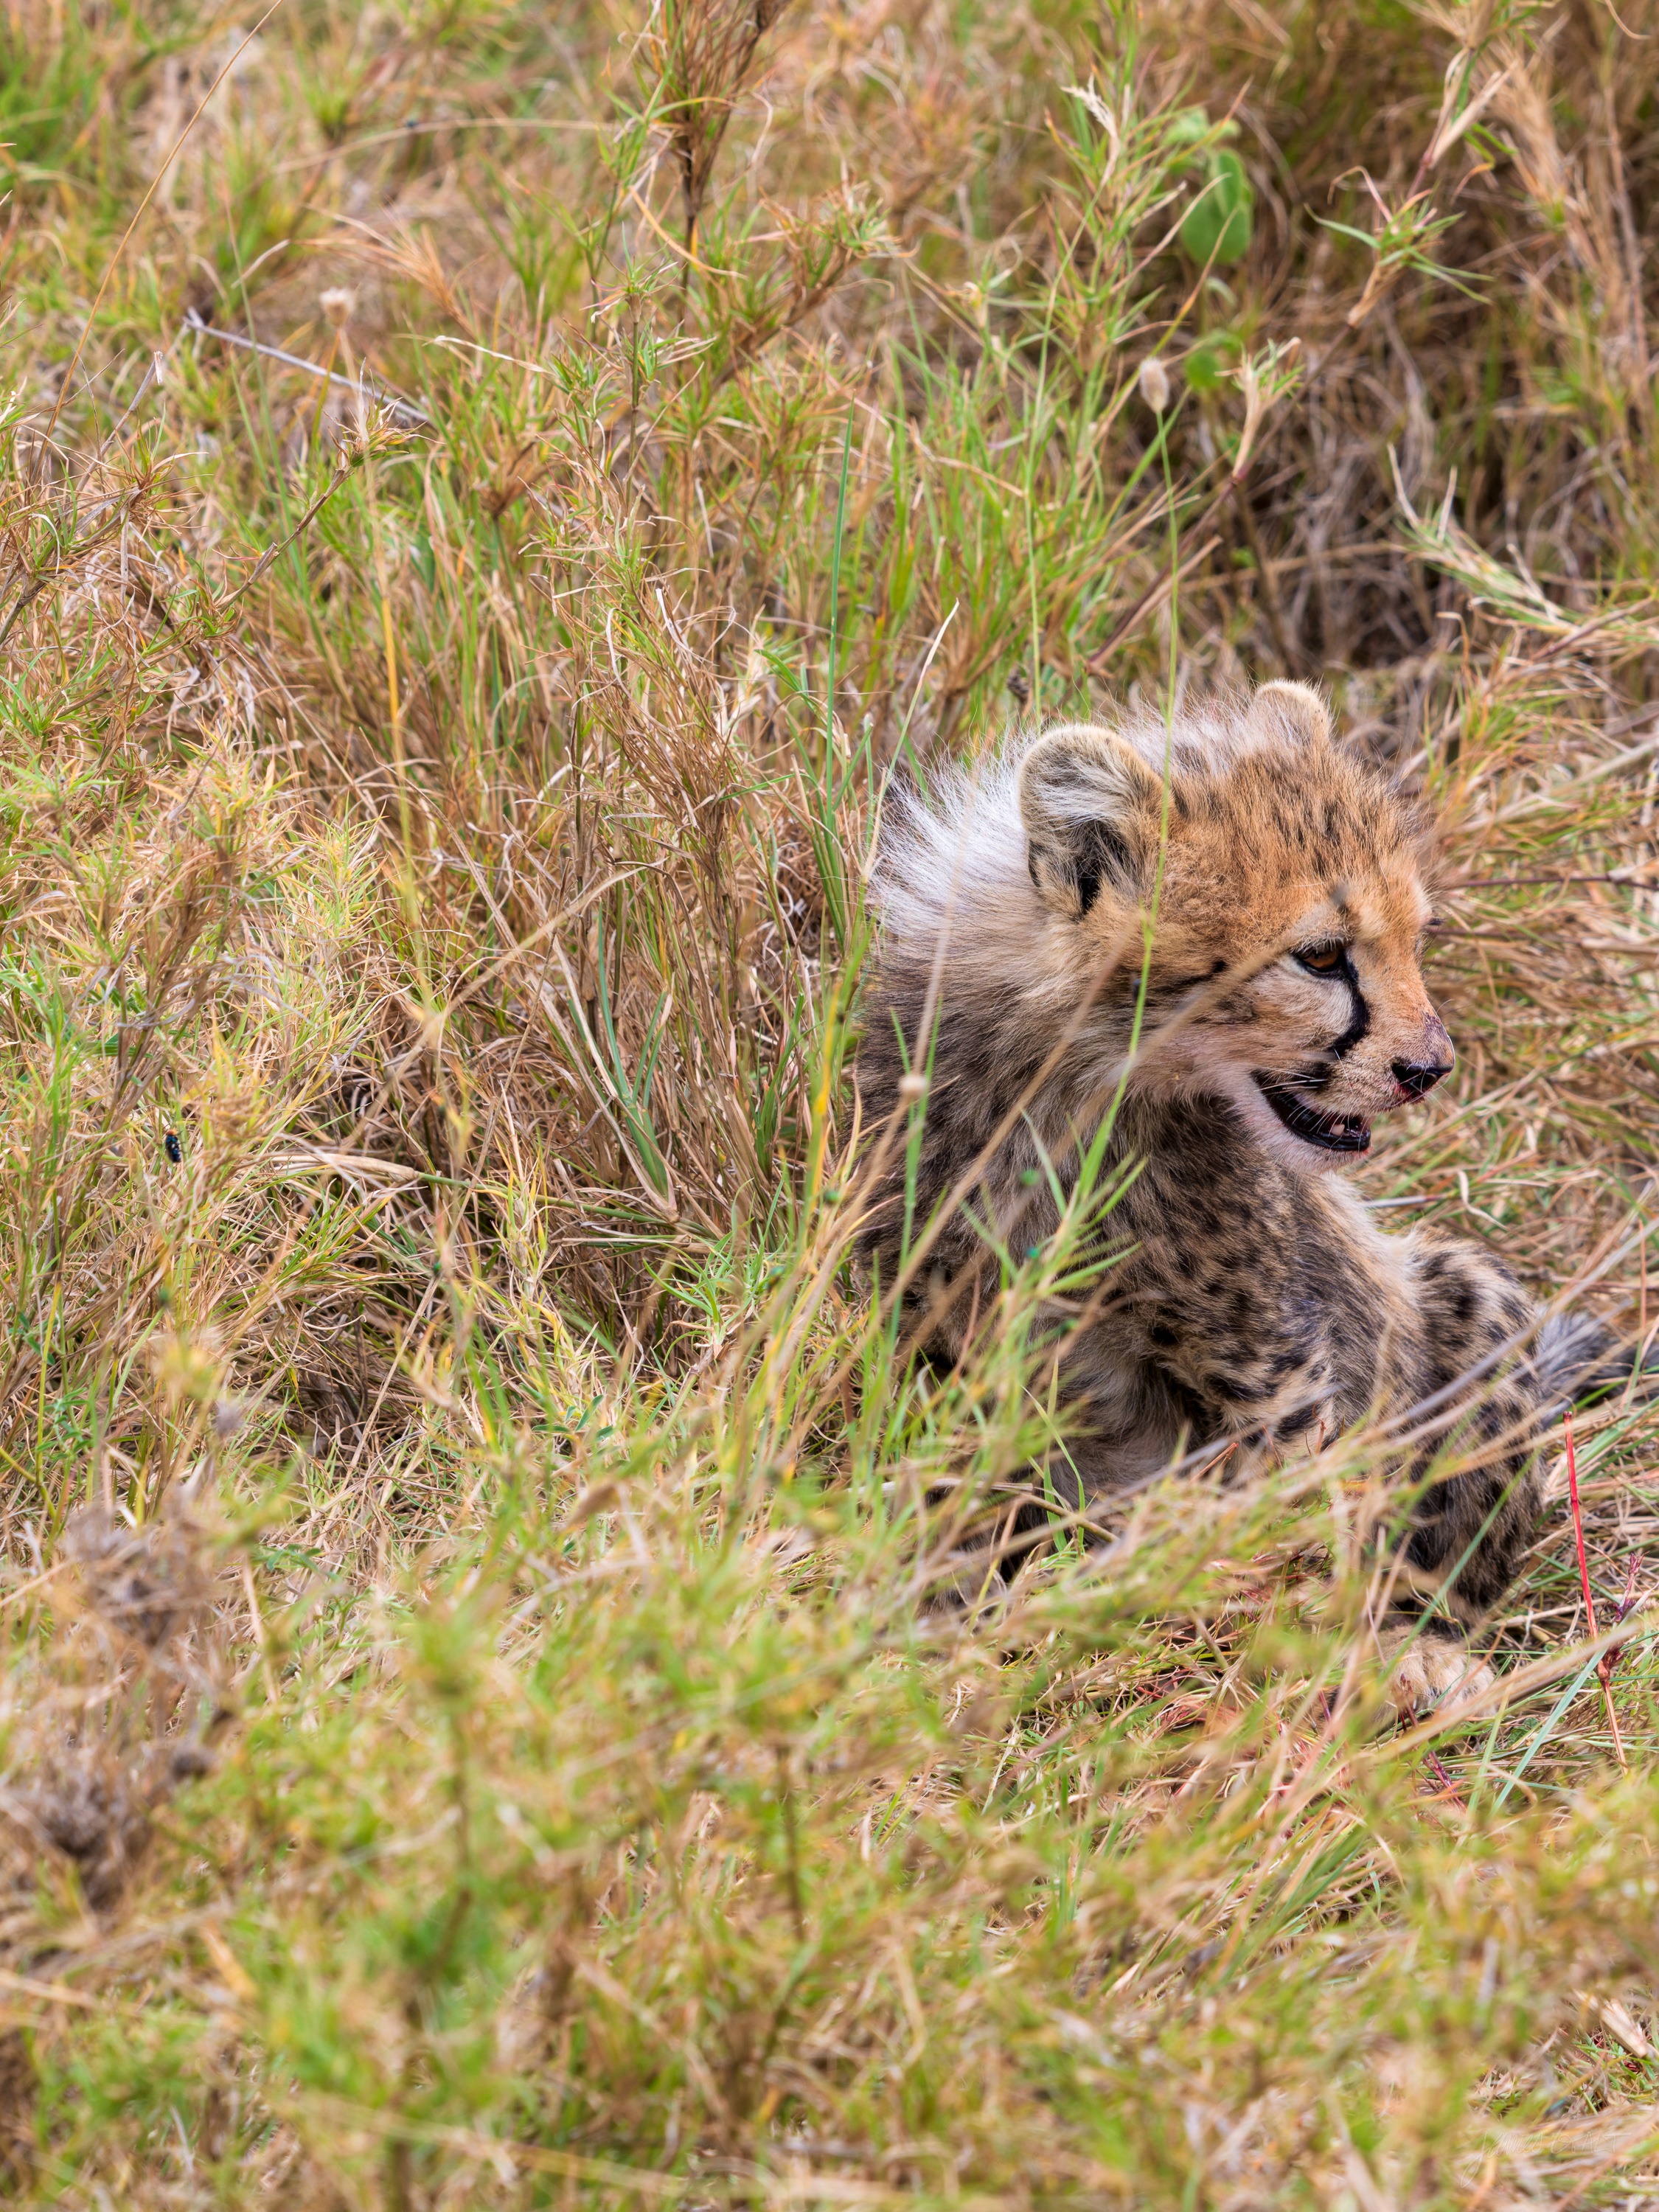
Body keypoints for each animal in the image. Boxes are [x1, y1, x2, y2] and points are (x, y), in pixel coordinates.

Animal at [855, 680, 1627, 1721]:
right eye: (1321, 957)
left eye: (1415, 938)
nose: (1429, 1069)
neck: (1076, 1089)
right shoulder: (950, 1339)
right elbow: (951, 1498)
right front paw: (937, 1647)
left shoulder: (1275, 1368)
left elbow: (1285, 1527)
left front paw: (1287, 1666)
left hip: (1470, 1295)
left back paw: (1425, 1653)